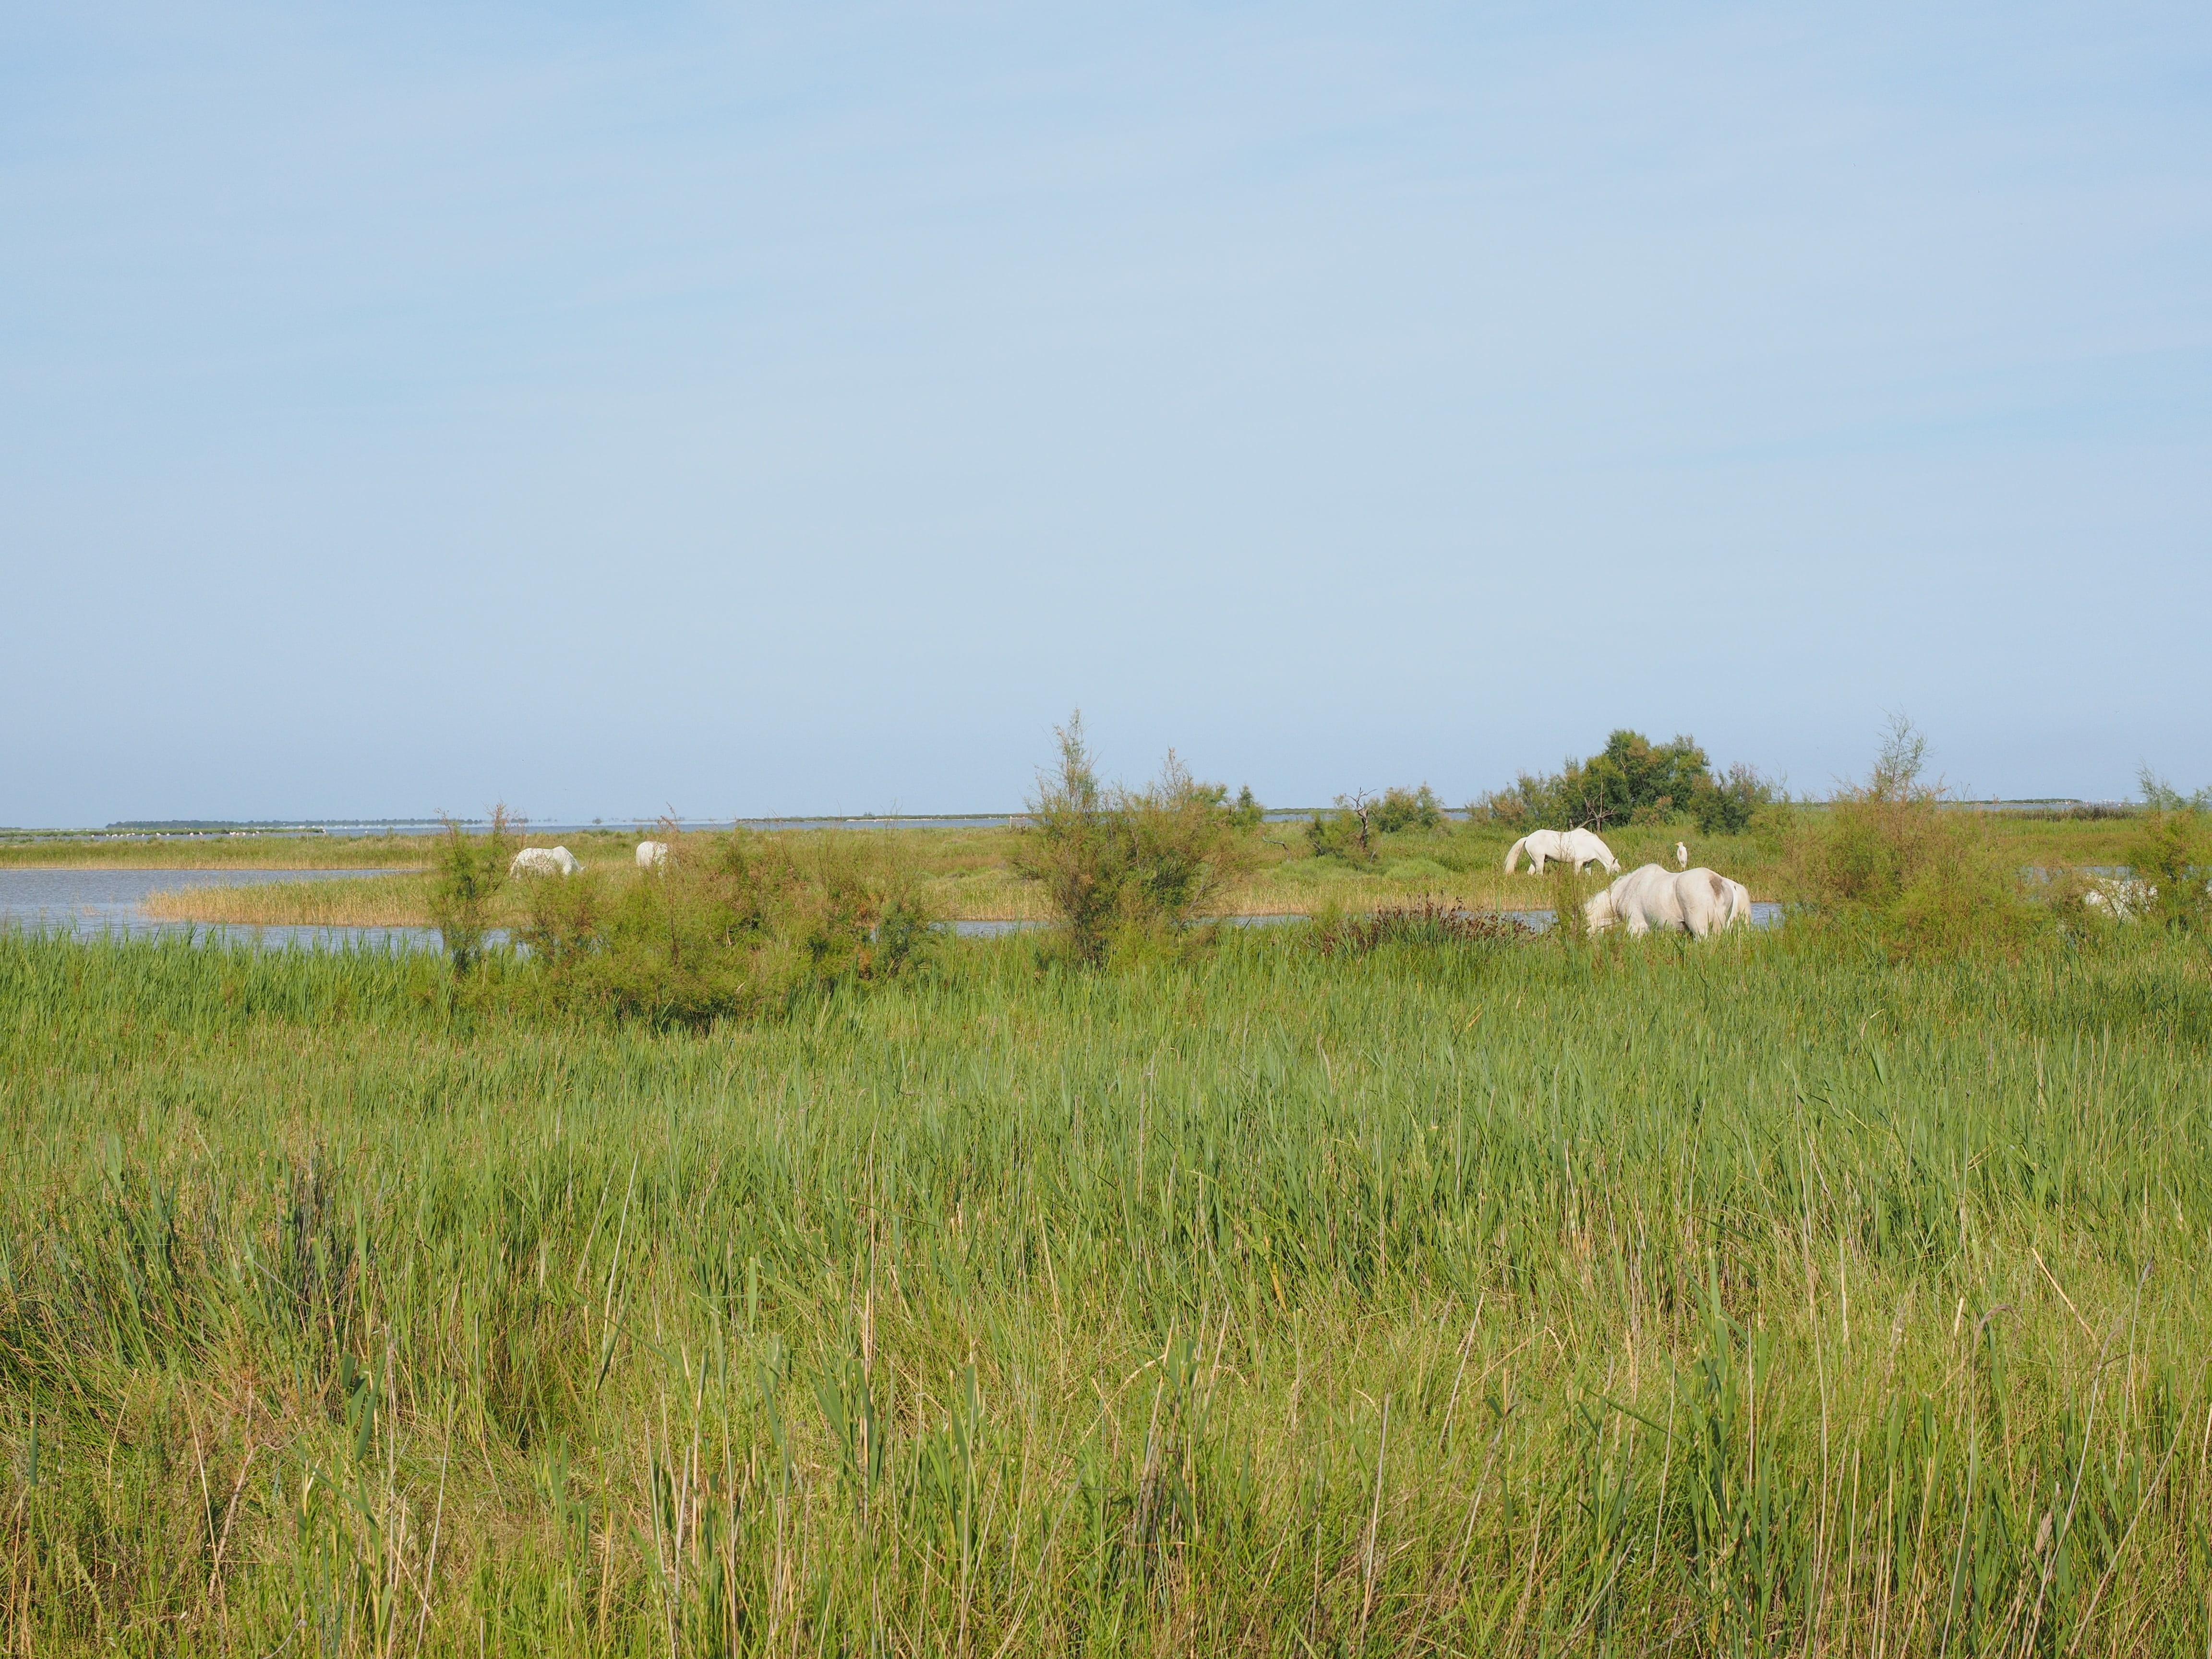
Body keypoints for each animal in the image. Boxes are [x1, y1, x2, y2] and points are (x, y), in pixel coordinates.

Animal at [1502, 827, 1621, 876]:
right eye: (1616, 870)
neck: (1591, 844)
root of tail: (1528, 838)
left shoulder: (1588, 864)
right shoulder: (1578, 863)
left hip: (1534, 861)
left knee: (1531, 873)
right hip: (1539, 860)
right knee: (1540, 873)